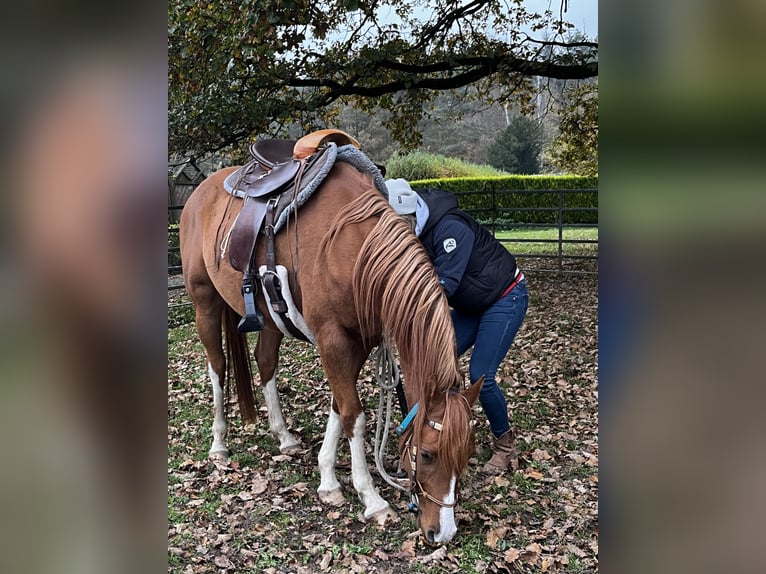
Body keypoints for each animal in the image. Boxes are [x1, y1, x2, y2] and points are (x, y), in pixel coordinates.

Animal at [179, 161, 480, 544]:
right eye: (426, 454)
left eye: (467, 453)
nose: (443, 532)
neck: (352, 250)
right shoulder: (332, 339)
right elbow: (354, 415)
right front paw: (371, 497)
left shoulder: (359, 342)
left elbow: (339, 406)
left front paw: (327, 480)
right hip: (205, 303)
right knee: (217, 367)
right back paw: (219, 444)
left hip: (272, 319)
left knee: (265, 362)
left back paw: (284, 436)